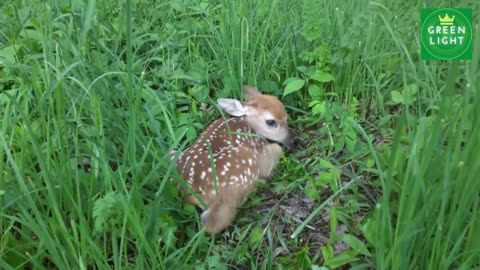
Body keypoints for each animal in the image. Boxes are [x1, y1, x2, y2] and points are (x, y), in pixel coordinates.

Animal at [171, 85, 294, 233]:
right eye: (271, 122)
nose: (292, 141)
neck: (248, 124)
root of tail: (190, 191)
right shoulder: (260, 150)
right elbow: (277, 150)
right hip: (243, 164)